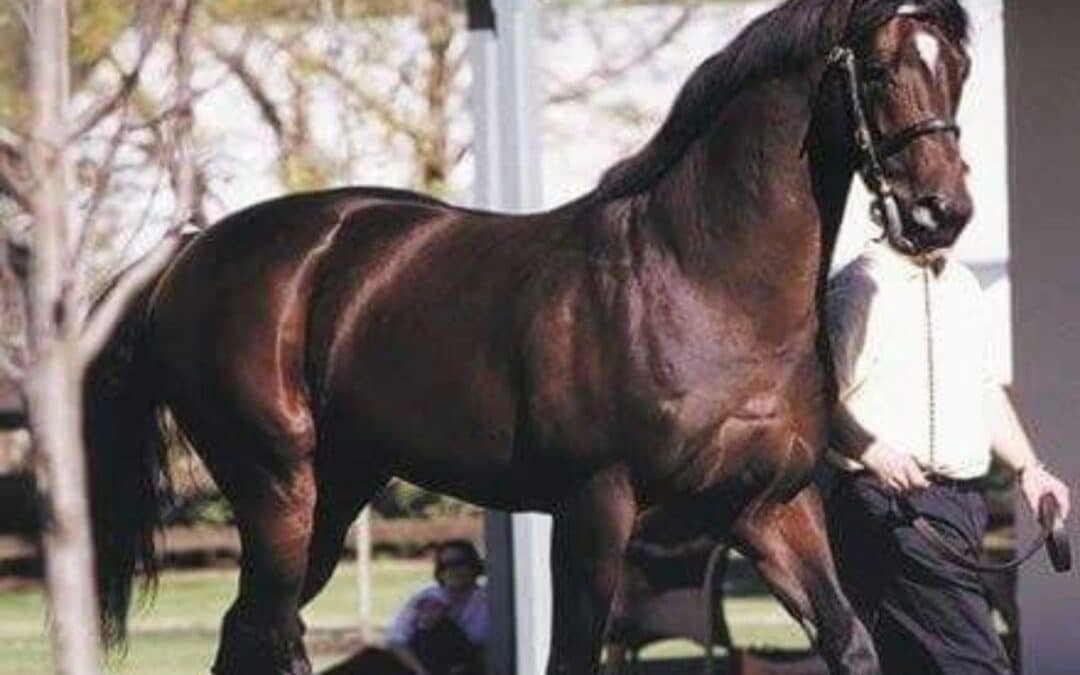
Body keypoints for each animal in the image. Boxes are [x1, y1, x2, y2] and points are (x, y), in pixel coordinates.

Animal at [84, 1, 973, 673]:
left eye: (960, 67)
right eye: (881, 68)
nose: (942, 212)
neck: (702, 282)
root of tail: (189, 259)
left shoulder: (771, 508)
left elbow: (849, 640)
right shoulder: (593, 508)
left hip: (333, 494)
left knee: (253, 632)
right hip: (276, 489)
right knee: (265, 630)